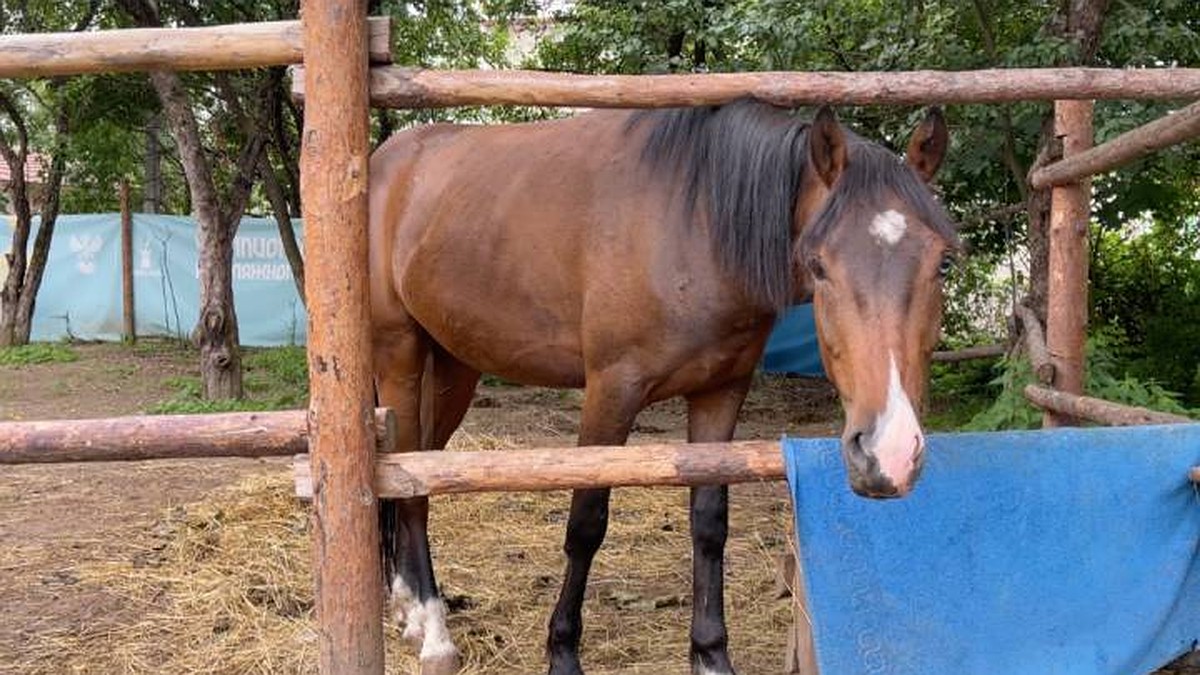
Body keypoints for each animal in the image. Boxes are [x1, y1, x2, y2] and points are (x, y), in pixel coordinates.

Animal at [369, 97, 960, 667]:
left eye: (944, 264)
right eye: (818, 265)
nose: (889, 452)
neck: (696, 225)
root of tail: (384, 162)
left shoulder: (721, 392)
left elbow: (710, 522)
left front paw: (711, 656)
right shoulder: (611, 393)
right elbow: (586, 523)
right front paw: (562, 653)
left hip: (454, 368)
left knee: (423, 471)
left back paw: (410, 610)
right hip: (399, 356)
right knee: (410, 481)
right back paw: (432, 632)